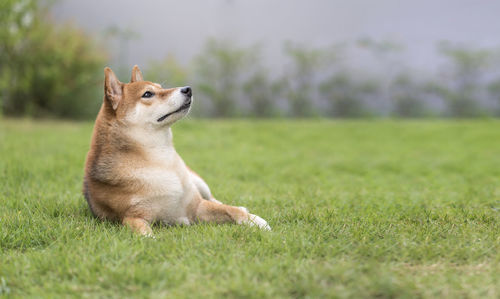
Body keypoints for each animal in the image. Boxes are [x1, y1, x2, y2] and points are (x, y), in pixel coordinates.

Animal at [83, 65, 270, 237]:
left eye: (160, 87)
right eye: (148, 94)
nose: (188, 89)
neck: (161, 159)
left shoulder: (197, 206)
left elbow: (231, 210)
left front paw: (256, 221)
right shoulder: (133, 217)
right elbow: (143, 232)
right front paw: (152, 240)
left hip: (199, 182)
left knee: (215, 199)